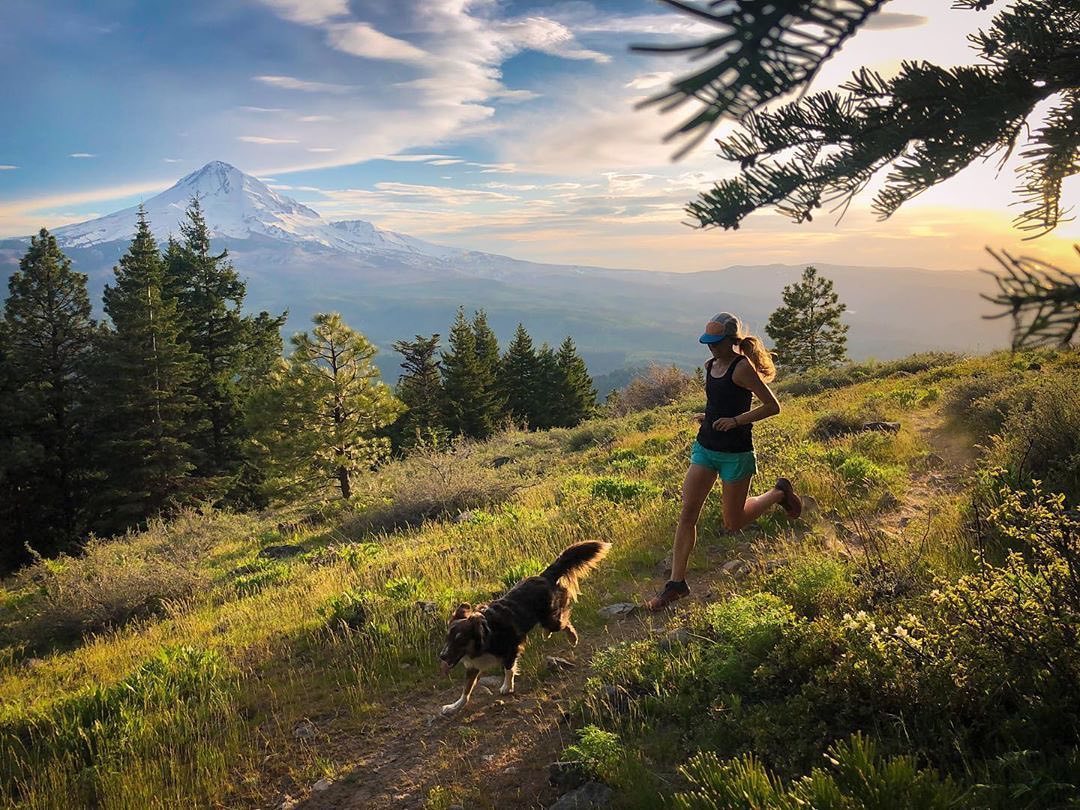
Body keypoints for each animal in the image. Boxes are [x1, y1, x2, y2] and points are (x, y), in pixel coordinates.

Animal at [436, 542, 609, 712]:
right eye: (447, 639)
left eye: (460, 640)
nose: (442, 656)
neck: (486, 635)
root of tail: (543, 576)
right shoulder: (473, 665)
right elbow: (466, 689)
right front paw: (454, 706)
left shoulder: (511, 648)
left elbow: (508, 668)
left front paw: (507, 686)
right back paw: (547, 634)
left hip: (551, 619)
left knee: (564, 622)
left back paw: (572, 638)